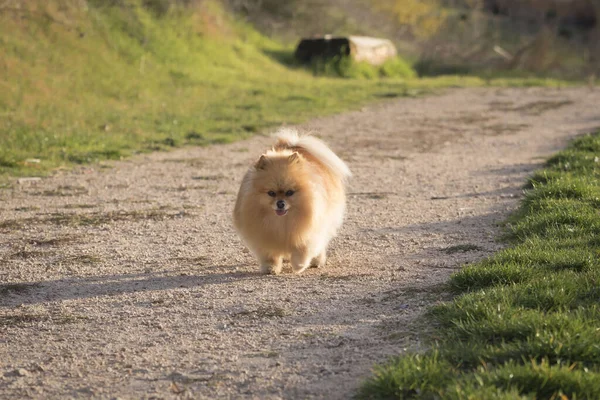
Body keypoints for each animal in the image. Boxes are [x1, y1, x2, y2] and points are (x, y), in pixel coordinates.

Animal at [231, 129, 352, 276]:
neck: (282, 221)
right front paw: (271, 268)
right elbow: (270, 254)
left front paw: (299, 265)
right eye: (271, 193)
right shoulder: (263, 235)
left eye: (289, 192)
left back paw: (316, 261)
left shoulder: (309, 231)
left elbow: (303, 250)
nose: (280, 203)